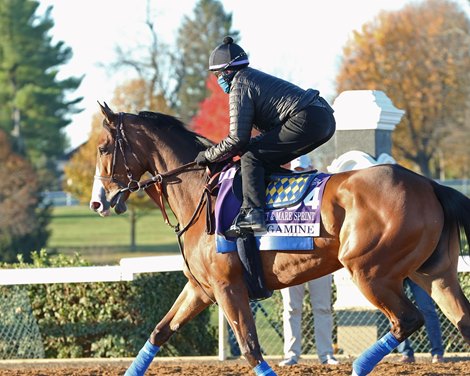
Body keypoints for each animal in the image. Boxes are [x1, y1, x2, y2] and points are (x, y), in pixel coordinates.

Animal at [90, 103, 468, 376]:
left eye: (103, 148)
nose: (99, 202)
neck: (201, 192)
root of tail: (429, 184)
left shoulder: (229, 287)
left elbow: (249, 348)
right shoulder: (201, 288)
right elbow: (160, 331)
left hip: (370, 271)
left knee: (407, 320)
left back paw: (360, 365)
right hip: (434, 274)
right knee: (462, 320)